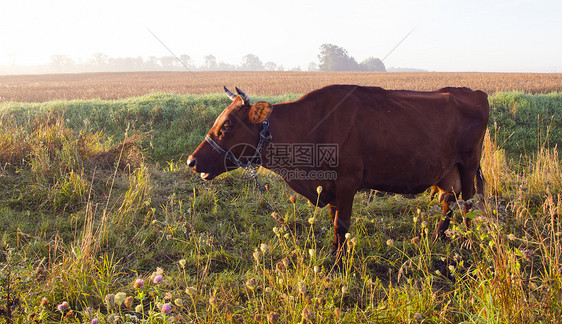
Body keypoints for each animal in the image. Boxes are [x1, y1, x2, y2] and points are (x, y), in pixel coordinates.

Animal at [187, 85, 486, 254]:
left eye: (227, 126)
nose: (191, 161)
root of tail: (470, 91)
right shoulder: (328, 186)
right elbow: (334, 221)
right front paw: (334, 252)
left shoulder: (347, 182)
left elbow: (341, 224)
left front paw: (339, 260)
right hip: (447, 172)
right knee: (448, 200)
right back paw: (437, 237)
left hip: (468, 165)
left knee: (468, 203)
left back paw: (469, 242)